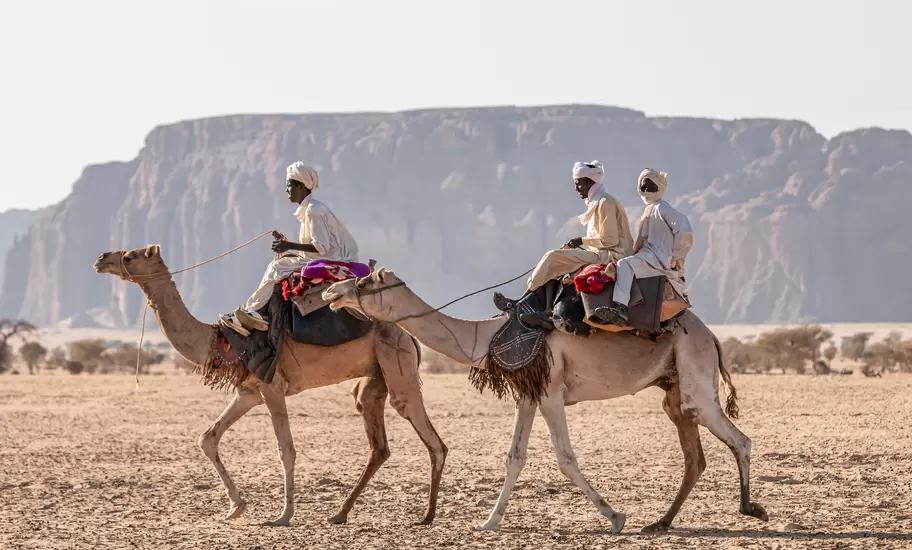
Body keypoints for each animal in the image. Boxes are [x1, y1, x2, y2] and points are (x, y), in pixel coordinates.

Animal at [92, 245, 447, 526]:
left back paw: (426, 516)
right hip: (375, 377)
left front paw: (282, 516)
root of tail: (409, 336)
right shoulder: (250, 391)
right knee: (377, 440)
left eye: (130, 255)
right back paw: (340, 513)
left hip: (397, 364)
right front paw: (236, 507)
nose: (101, 259)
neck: (225, 342)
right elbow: (208, 438)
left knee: (431, 438)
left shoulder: (273, 386)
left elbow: (286, 450)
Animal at [322, 268, 769, 533]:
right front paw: (489, 522)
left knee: (739, 438)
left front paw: (616, 517)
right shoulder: (529, 392)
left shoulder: (551, 390)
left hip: (694, 372)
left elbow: (565, 457)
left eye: (363, 283)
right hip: (673, 386)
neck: (485, 336)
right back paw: (660, 522)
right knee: (694, 454)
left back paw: (751, 509)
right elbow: (514, 457)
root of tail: (711, 335)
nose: (331, 290)